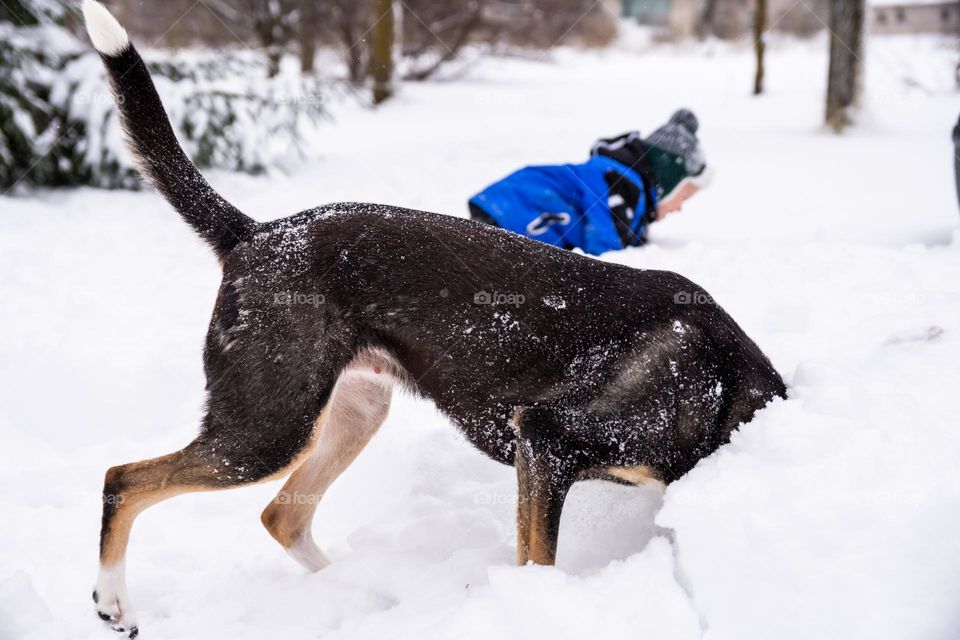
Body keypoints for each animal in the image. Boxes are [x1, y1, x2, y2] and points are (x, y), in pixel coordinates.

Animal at [82, 1, 784, 636]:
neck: (724, 386)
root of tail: (257, 233)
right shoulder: (547, 442)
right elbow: (538, 564)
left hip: (354, 412)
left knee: (282, 516)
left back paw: (363, 595)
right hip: (267, 429)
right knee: (123, 479)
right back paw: (114, 602)